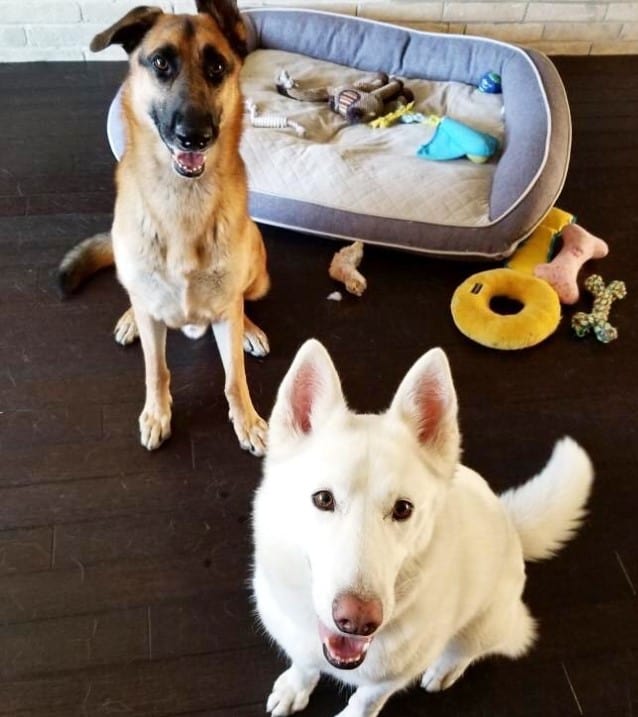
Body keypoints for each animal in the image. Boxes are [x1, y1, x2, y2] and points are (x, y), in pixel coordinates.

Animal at [58, 1, 272, 454]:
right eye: (160, 63)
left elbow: (235, 377)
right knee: (136, 297)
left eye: (217, 67)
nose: (195, 136)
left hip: (257, 272)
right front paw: (157, 414)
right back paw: (129, 319)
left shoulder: (227, 307)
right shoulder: (153, 320)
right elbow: (156, 371)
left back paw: (249, 328)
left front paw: (247, 420)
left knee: (243, 302)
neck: (183, 205)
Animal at [252, 340, 596, 716]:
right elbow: (304, 664)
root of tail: (509, 521)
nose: (357, 621)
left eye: (402, 509)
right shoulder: (300, 642)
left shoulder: (387, 681)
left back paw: (446, 668)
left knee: (471, 648)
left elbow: (364, 701)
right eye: (324, 499)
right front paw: (295, 686)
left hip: (486, 624)